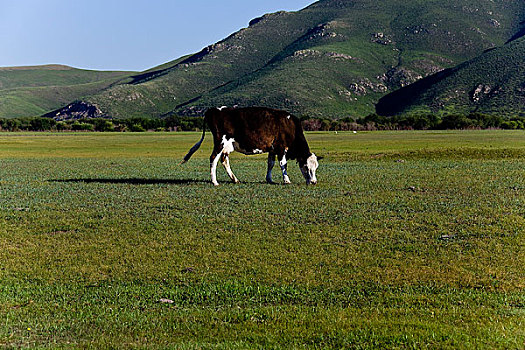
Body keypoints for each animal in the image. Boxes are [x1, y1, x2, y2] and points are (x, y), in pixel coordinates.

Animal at [180, 106, 320, 186]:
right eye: (306, 166)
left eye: (316, 168)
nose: (313, 182)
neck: (290, 126)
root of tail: (213, 109)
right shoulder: (281, 147)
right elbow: (283, 164)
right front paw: (286, 180)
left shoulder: (272, 149)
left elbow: (270, 163)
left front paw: (269, 179)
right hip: (220, 142)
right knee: (213, 159)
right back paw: (215, 182)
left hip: (226, 146)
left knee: (224, 160)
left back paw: (234, 179)